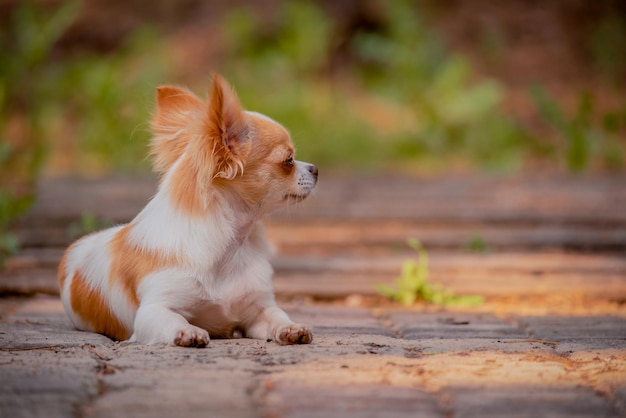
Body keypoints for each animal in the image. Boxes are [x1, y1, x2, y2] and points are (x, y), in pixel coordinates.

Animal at [57, 74, 316, 346]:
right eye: (288, 160)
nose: (315, 169)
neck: (230, 248)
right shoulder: (152, 310)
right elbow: (173, 319)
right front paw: (188, 331)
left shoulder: (258, 309)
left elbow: (276, 315)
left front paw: (292, 328)